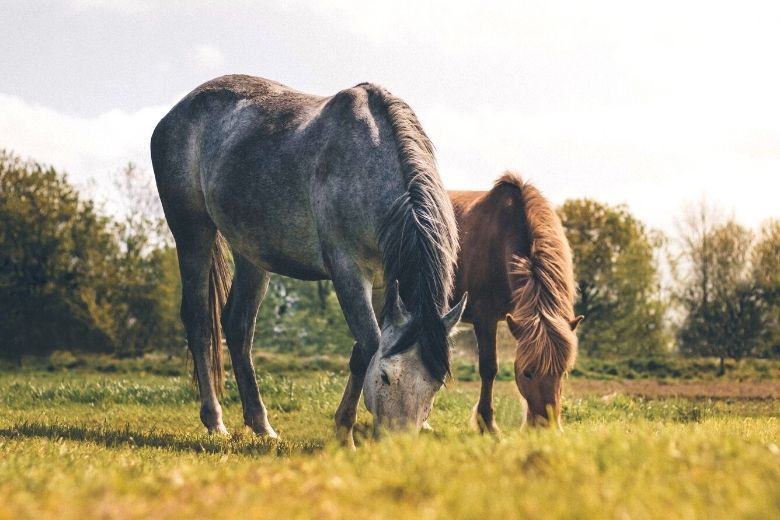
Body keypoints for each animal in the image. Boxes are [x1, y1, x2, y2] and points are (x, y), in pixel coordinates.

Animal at [150, 74, 466, 446]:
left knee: (238, 327)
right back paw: (215, 421)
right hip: (192, 233)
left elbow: (362, 351)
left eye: (435, 385)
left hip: (251, 254)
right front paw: (345, 433)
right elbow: (369, 345)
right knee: (200, 322)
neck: (369, 162)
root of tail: (175, 113)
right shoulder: (347, 272)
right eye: (387, 377)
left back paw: (261, 425)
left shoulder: (383, 282)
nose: (397, 444)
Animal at [448, 172, 580, 430]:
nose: (546, 427)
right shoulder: (484, 317)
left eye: (562, 372)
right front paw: (487, 424)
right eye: (527, 373)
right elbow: (489, 368)